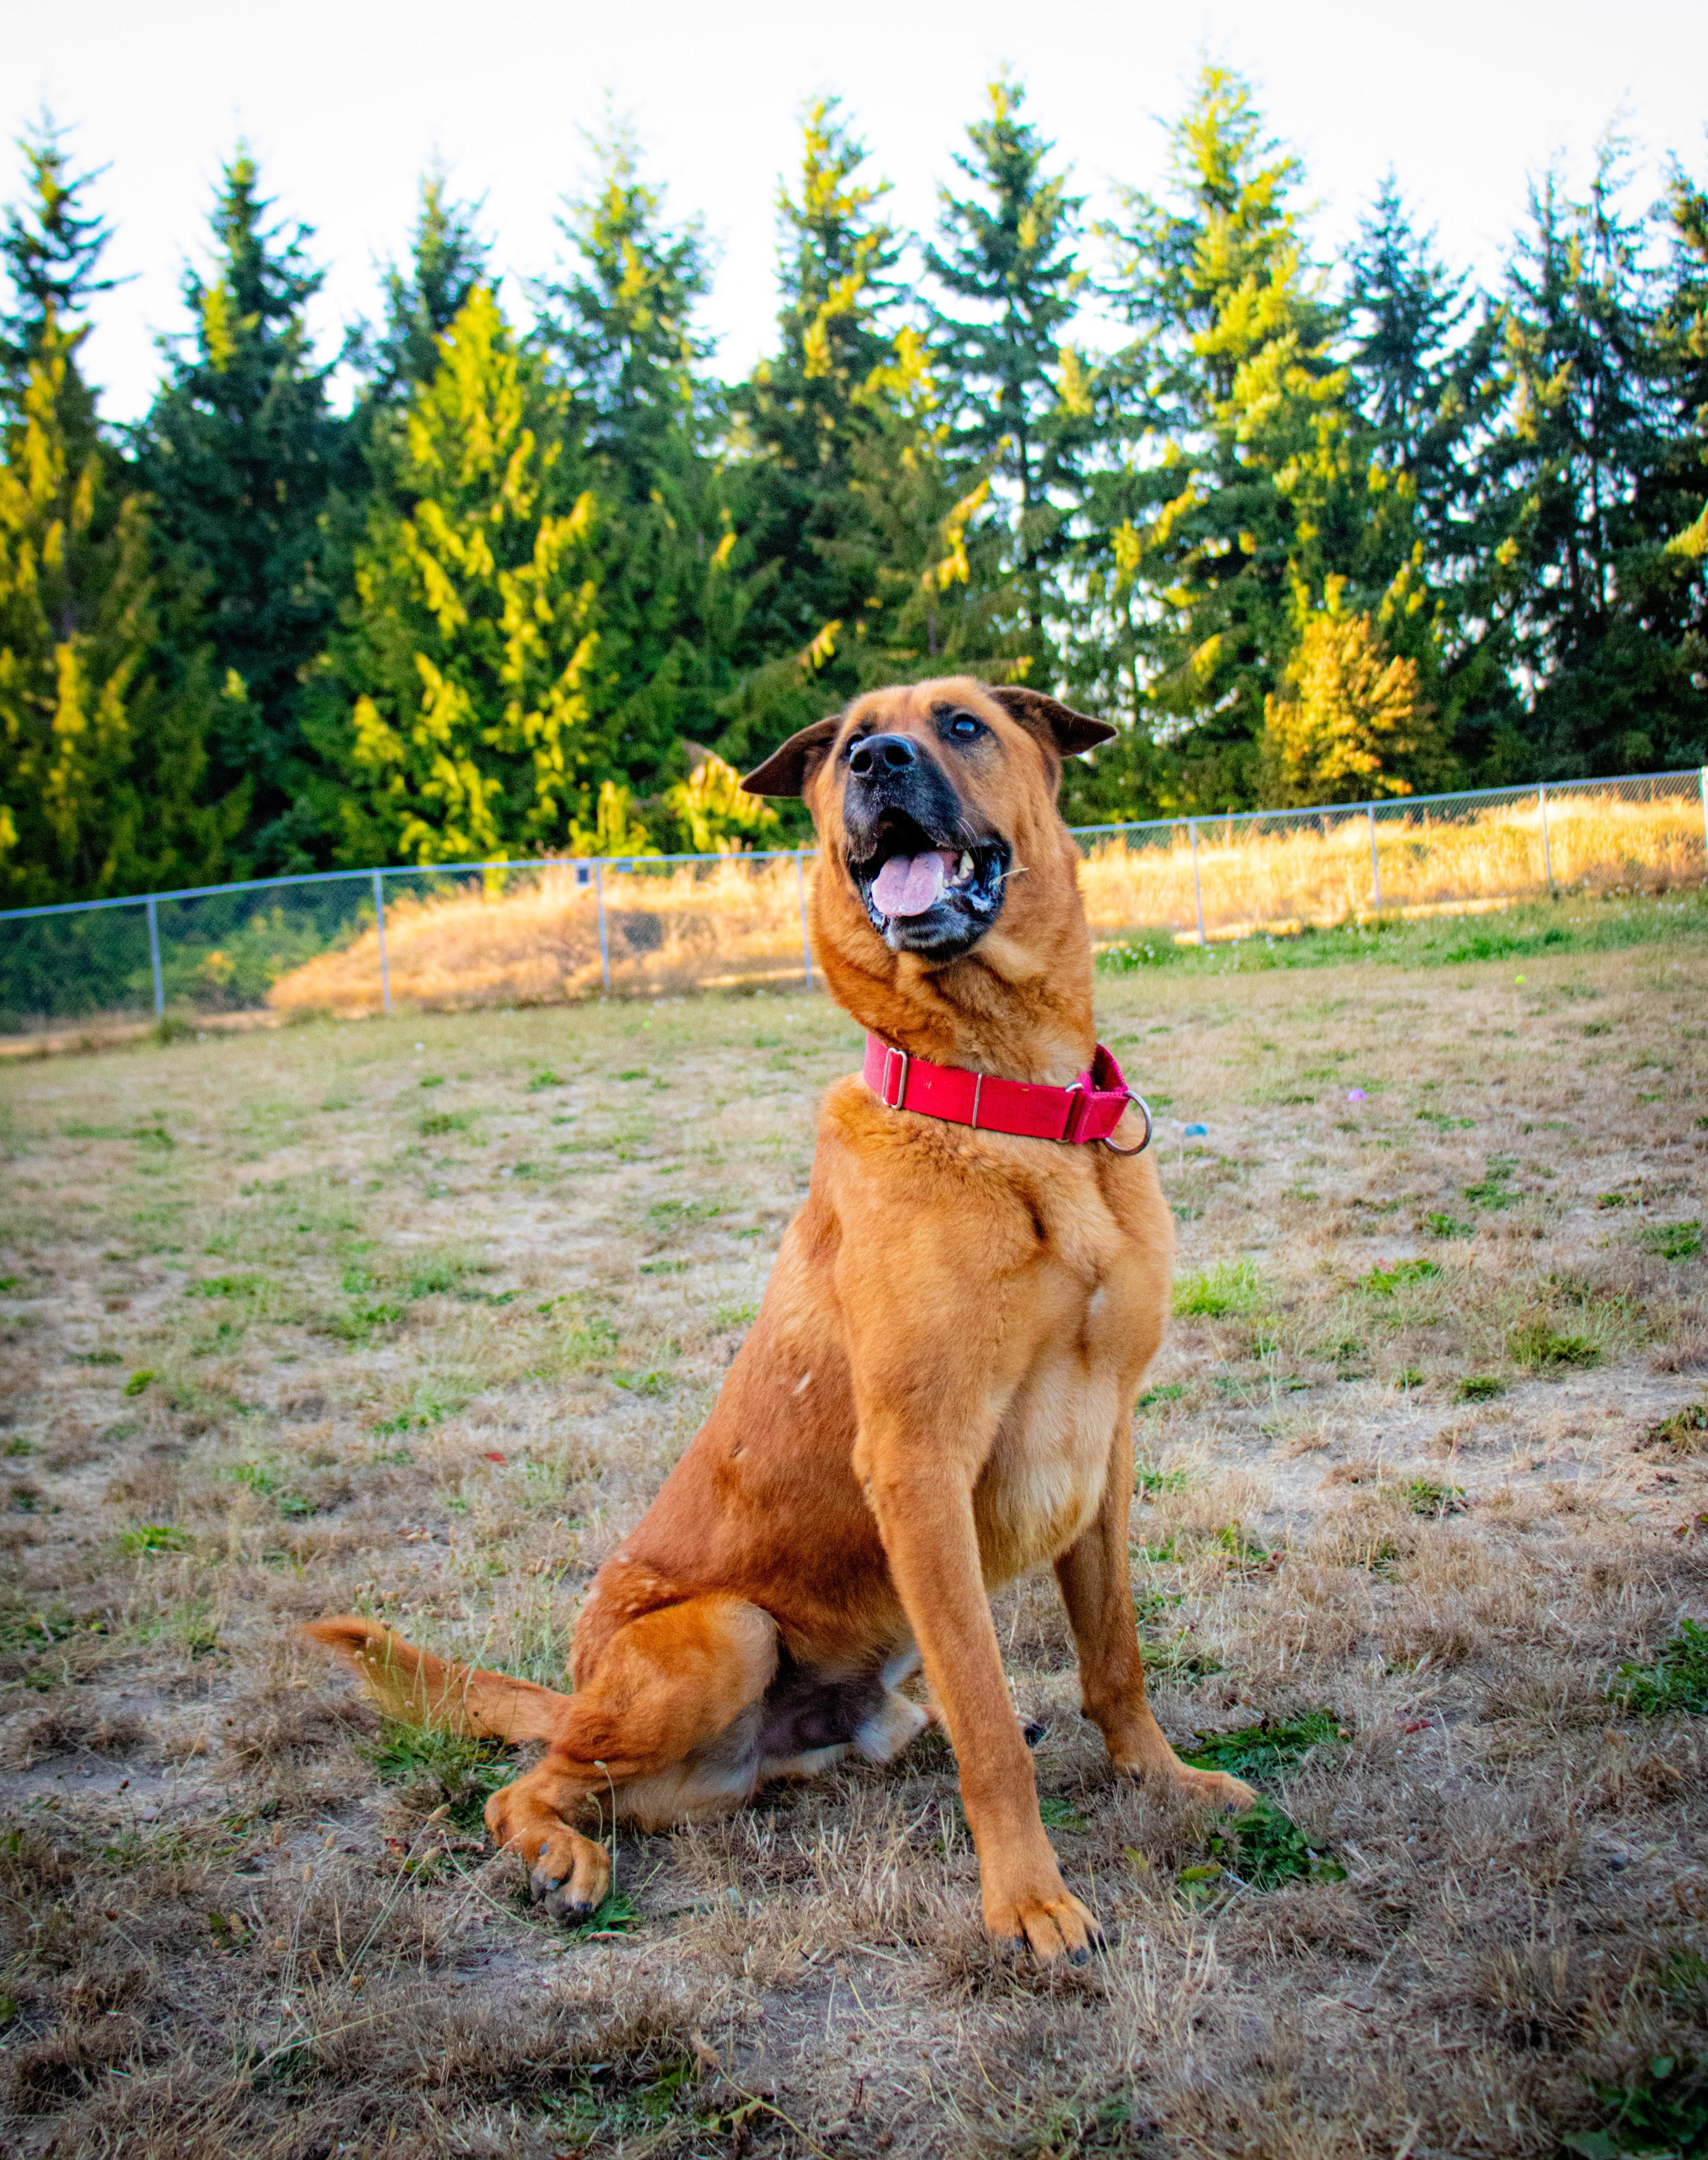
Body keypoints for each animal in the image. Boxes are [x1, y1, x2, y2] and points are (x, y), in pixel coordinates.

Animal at [306, 674, 1252, 1961]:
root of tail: (578, 1685)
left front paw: (1160, 1778)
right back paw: (556, 1851)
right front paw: (1026, 1898)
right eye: (849, 739)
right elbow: (988, 1714)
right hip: (723, 1634)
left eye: (961, 722)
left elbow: (1114, 1657)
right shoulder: (918, 1465)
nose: (876, 763)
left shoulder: (1104, 1445)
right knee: (527, 1783)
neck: (1006, 1106)